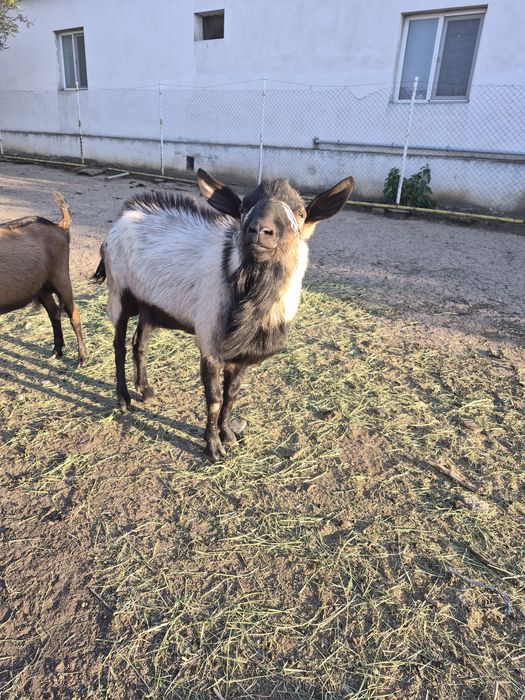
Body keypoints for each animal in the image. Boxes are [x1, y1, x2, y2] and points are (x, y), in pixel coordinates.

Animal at [0, 192, 88, 365]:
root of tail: (59, 227)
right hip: (42, 288)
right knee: (54, 313)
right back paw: (57, 350)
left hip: (62, 279)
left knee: (74, 315)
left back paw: (82, 357)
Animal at [96, 169, 354, 460]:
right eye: (244, 206)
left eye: (300, 213)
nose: (260, 230)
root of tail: (123, 217)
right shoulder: (210, 345)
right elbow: (214, 398)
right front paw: (213, 445)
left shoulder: (241, 355)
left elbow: (232, 395)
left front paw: (228, 434)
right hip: (119, 293)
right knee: (118, 345)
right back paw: (124, 399)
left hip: (151, 306)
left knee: (139, 343)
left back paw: (146, 390)